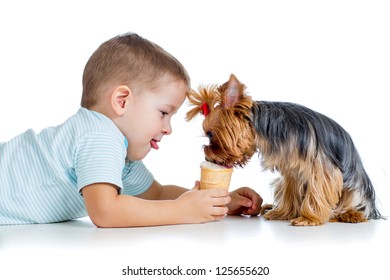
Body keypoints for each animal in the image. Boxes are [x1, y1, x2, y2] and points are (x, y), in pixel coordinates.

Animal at [185, 74, 380, 225]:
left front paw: (309, 218)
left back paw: (351, 214)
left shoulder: (321, 167)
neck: (265, 129)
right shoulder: (291, 170)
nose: (207, 156)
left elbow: (317, 191)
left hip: (356, 188)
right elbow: (290, 191)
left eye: (210, 134)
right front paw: (282, 213)